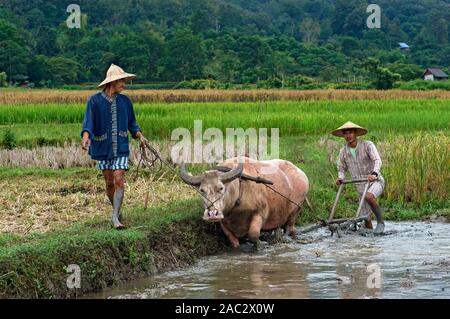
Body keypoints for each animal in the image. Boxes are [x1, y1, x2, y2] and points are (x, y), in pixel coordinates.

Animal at [179, 158, 310, 250]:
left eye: (221, 188)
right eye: (202, 190)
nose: (212, 214)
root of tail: (301, 173)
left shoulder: (260, 213)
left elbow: (253, 235)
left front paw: (261, 245)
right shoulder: (224, 222)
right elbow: (232, 240)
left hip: (296, 210)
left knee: (290, 228)